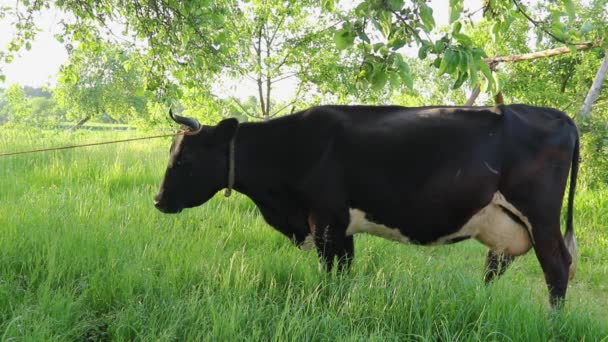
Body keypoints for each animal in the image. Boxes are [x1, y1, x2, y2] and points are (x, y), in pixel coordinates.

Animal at [153, 105, 580, 308]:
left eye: (184, 159)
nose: (157, 201)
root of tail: (557, 115)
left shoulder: (326, 222)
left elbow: (331, 275)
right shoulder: (340, 230)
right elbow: (343, 274)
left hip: (541, 216)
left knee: (557, 268)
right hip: (505, 224)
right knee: (497, 264)